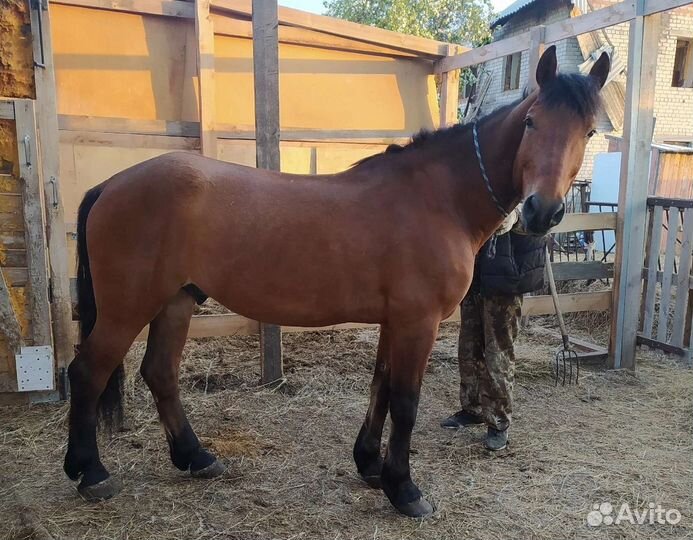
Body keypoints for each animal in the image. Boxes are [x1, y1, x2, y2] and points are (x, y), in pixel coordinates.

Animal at [64, 46, 610, 518]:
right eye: (532, 121)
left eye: (587, 132)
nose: (542, 211)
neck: (438, 198)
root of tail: (111, 184)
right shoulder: (418, 321)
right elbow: (406, 402)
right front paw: (404, 490)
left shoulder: (396, 320)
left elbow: (381, 387)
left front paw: (370, 464)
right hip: (128, 307)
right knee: (87, 372)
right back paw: (90, 473)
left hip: (176, 300)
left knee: (159, 373)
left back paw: (196, 458)